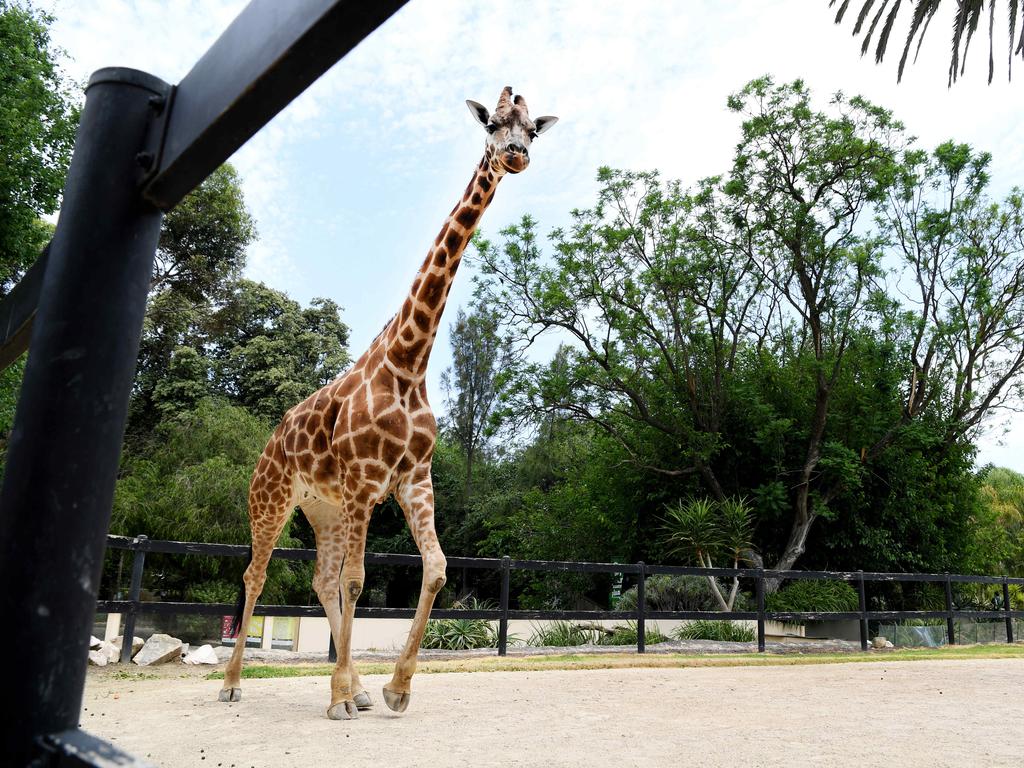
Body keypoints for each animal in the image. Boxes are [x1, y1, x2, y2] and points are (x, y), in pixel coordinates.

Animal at [215, 88, 552, 720]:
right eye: (493, 124)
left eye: (533, 131)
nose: (516, 156)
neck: (408, 361)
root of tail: (269, 443)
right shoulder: (366, 482)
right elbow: (357, 581)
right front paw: (340, 698)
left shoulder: (412, 479)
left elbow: (435, 570)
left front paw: (394, 687)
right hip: (271, 502)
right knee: (256, 574)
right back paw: (232, 683)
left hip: (321, 508)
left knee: (320, 579)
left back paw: (360, 688)